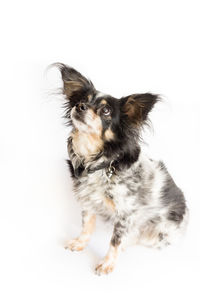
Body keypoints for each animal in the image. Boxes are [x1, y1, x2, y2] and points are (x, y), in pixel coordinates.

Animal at [54, 62, 188, 274]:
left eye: (106, 111)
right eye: (82, 100)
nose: (80, 106)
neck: (99, 162)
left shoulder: (127, 213)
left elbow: (115, 240)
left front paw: (107, 263)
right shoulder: (88, 202)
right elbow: (86, 226)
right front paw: (80, 243)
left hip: (158, 235)